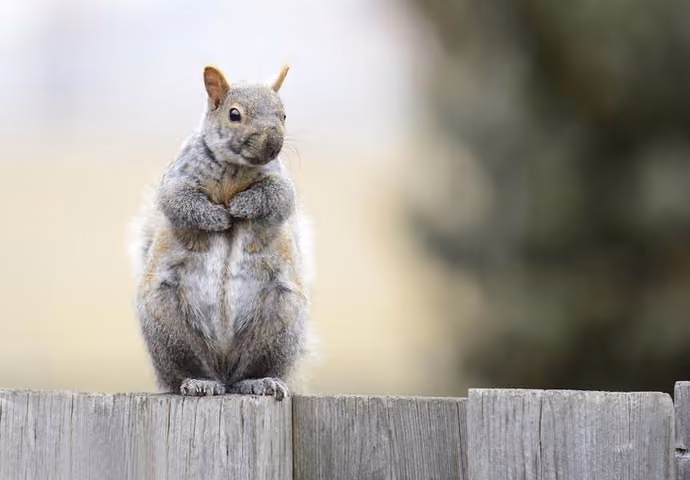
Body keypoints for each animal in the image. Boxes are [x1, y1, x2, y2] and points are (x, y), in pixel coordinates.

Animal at [129, 65, 313, 400]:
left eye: (283, 115)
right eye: (234, 114)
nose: (273, 144)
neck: (235, 170)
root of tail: (223, 367)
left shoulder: (281, 183)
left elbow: (278, 197)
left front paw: (241, 206)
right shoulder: (177, 179)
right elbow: (178, 202)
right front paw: (218, 217)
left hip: (280, 322)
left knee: (249, 371)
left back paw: (260, 382)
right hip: (167, 326)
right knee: (185, 371)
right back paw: (198, 381)